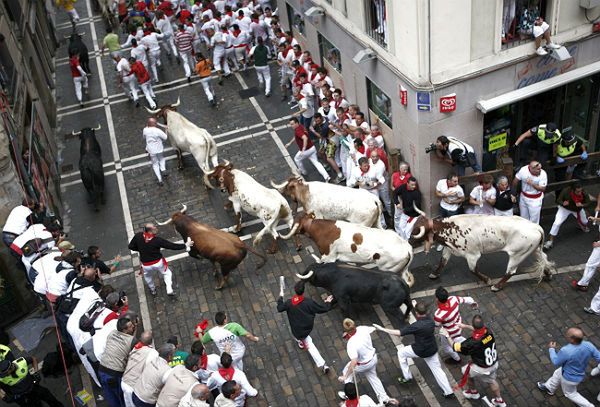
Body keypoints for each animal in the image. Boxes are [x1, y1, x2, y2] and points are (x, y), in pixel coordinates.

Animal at [410, 209, 556, 292]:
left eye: (417, 231)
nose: (409, 241)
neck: (448, 227)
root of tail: (536, 226)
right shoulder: (449, 249)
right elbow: (442, 262)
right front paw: (434, 274)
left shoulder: (473, 255)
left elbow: (473, 269)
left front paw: (487, 280)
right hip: (534, 250)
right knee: (544, 260)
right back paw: (548, 274)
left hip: (517, 255)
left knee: (510, 271)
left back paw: (496, 286)